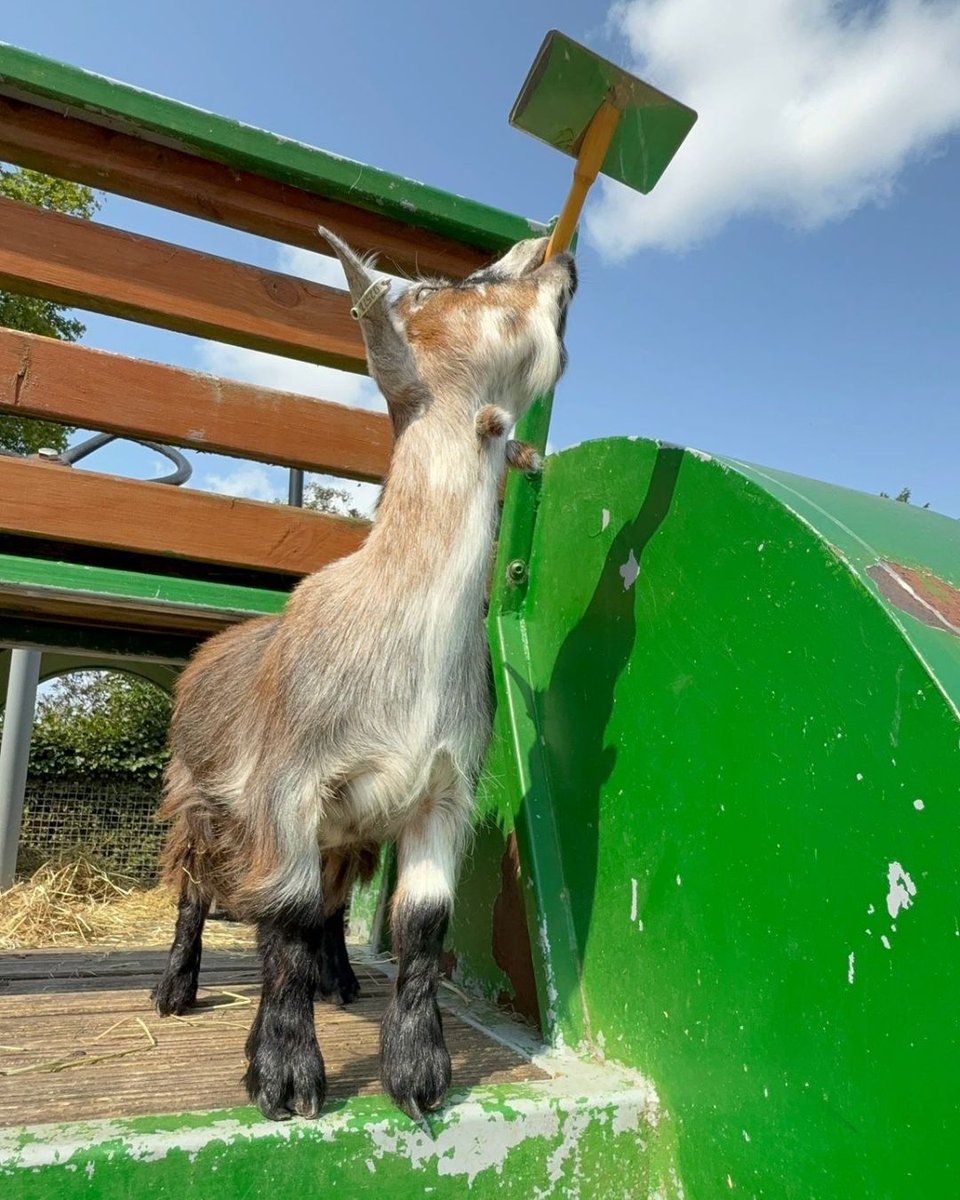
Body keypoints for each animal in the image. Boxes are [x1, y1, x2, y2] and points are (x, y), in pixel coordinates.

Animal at [152, 230, 577, 1121]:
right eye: (443, 290)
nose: (551, 251)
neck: (404, 636)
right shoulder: (284, 788)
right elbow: (280, 916)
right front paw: (283, 1074)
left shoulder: (443, 792)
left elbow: (421, 924)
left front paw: (418, 1073)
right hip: (196, 795)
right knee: (197, 891)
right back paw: (175, 991)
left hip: (346, 832)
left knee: (331, 905)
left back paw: (340, 979)